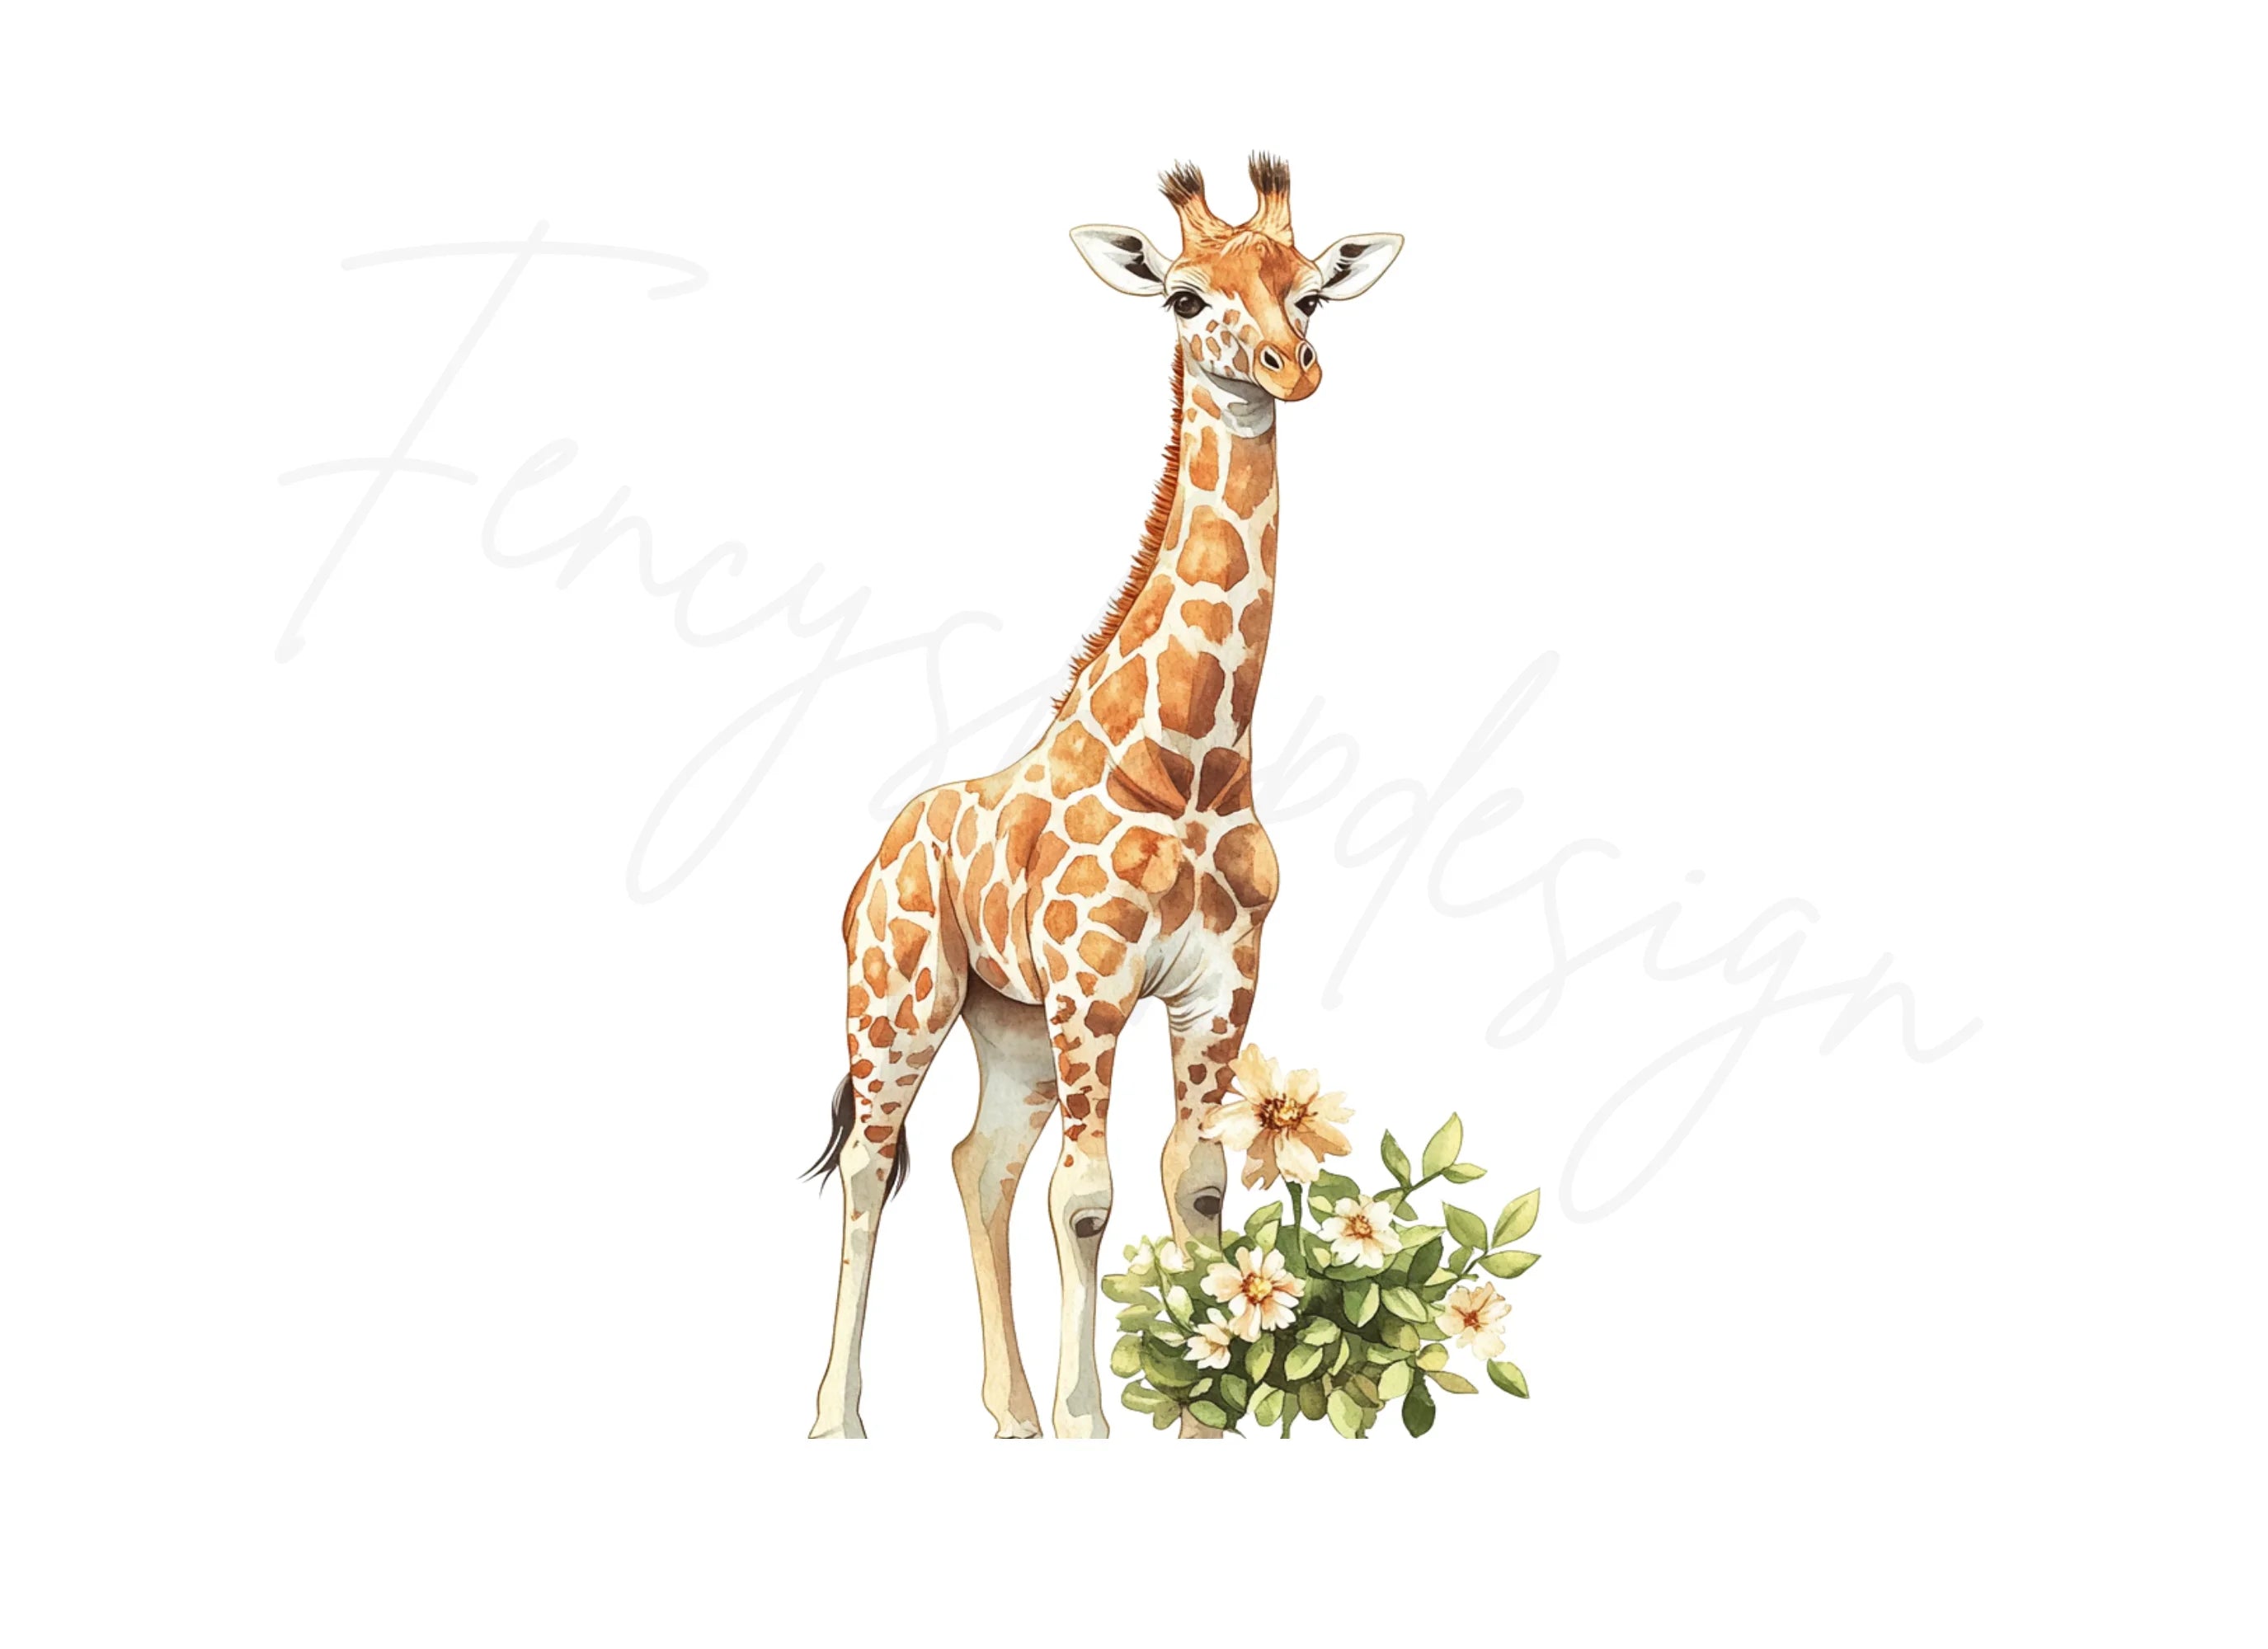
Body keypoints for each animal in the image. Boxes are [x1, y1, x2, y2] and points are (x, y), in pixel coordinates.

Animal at [807, 154, 1402, 1439]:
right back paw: (839, 1418)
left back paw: (1009, 1414)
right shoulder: (1094, 985)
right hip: (898, 1000)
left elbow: (1198, 1183)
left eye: (1310, 293)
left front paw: (1200, 1414)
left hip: (1008, 1023)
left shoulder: (1218, 987)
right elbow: (1086, 1198)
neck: (1192, 761)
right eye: (1183, 296)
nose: (1289, 366)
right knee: (877, 1167)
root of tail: (875, 856)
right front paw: (1093, 1420)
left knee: (977, 1162)